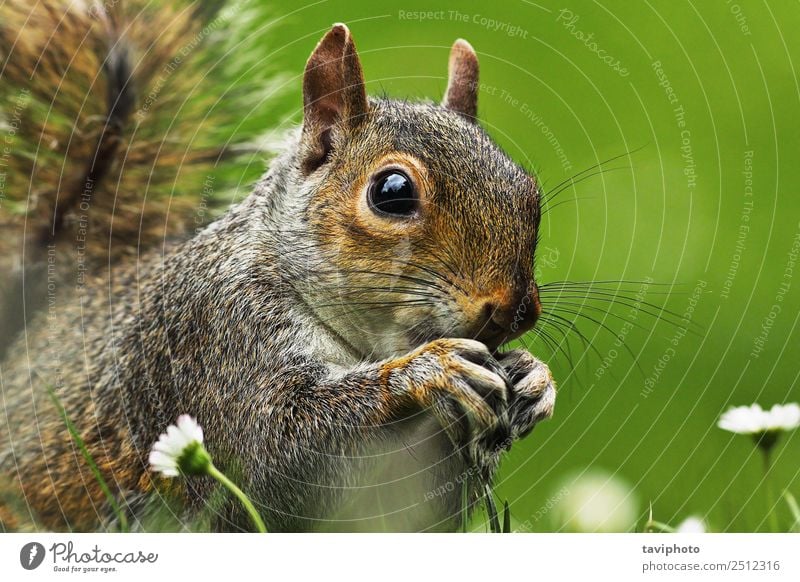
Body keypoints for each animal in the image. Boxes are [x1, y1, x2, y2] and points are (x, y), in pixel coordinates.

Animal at [0, 0, 556, 532]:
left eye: (529, 190)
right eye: (392, 191)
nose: (515, 310)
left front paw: (532, 379)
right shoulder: (219, 337)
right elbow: (274, 450)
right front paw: (429, 370)